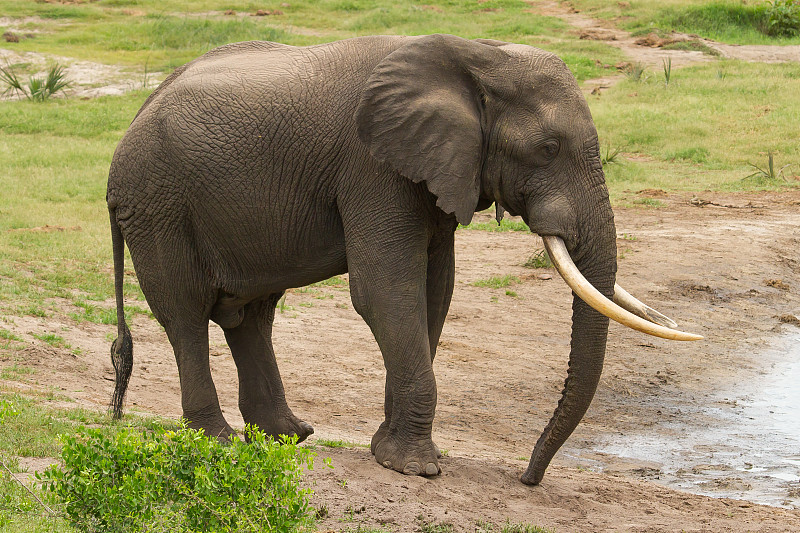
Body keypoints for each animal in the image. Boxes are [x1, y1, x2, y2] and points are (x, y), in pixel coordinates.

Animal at [108, 32, 700, 482]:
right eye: (549, 148)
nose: (528, 478)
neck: (476, 57)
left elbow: (433, 293)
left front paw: (390, 454)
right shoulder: (373, 167)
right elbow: (386, 292)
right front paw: (417, 468)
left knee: (252, 313)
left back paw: (287, 437)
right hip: (158, 205)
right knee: (186, 313)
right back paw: (220, 442)